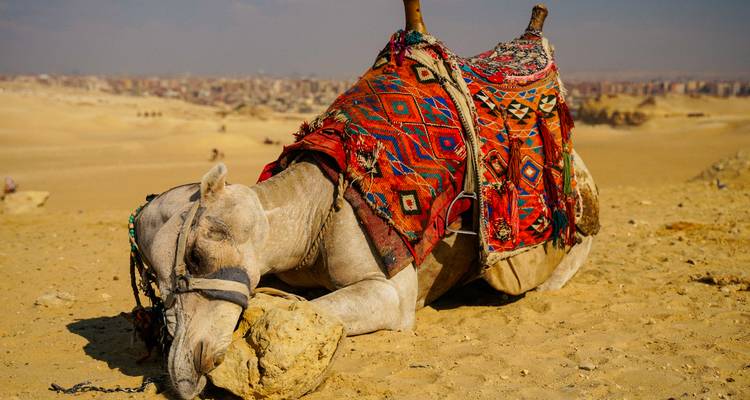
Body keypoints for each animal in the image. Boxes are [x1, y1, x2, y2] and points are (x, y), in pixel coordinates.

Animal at [129, 3, 599, 398]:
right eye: (156, 287)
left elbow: (322, 309)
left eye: (196, 256)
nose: (184, 367)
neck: (311, 209)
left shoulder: (392, 292)